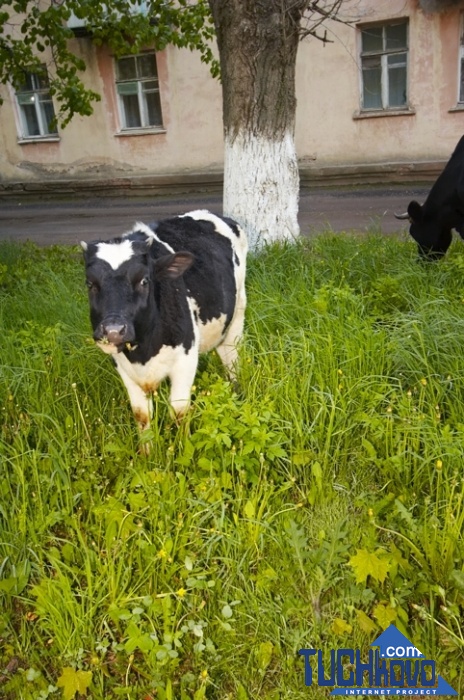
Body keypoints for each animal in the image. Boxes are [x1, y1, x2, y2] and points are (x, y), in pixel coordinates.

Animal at [80, 208, 246, 440]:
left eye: (144, 280)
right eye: (90, 284)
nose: (113, 331)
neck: (143, 352)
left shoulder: (185, 360)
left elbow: (179, 412)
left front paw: (181, 448)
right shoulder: (123, 367)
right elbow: (142, 416)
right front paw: (146, 449)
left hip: (237, 316)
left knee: (231, 360)